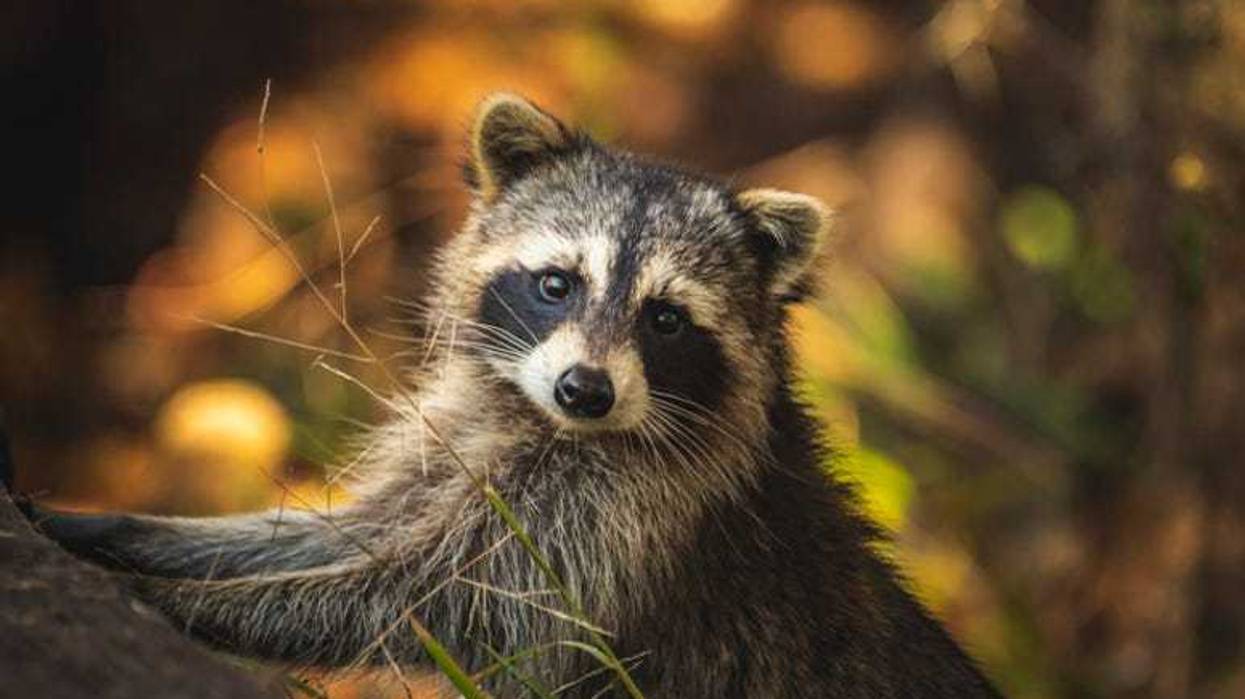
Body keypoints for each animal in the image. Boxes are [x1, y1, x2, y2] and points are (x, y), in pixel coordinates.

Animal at [14, 94, 1000, 697]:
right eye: (557, 283)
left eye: (666, 319)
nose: (585, 389)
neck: (543, 421)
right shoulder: (460, 445)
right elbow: (343, 534)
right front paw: (127, 533)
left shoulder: (626, 520)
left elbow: (426, 601)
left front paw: (180, 599)